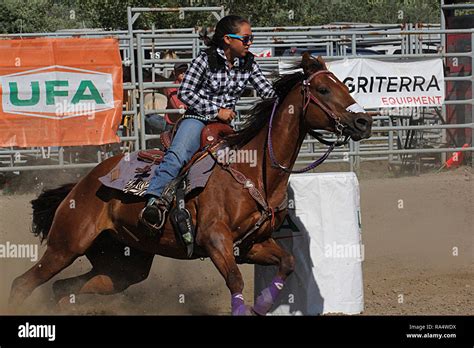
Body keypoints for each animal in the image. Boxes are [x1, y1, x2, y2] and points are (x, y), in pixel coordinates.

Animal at [7, 53, 370, 316]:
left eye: (344, 86)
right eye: (324, 90)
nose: (363, 121)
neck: (255, 171)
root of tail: (81, 184)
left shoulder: (252, 245)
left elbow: (288, 263)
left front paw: (263, 306)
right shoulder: (214, 239)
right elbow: (235, 280)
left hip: (123, 264)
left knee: (65, 288)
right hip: (66, 245)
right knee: (23, 284)